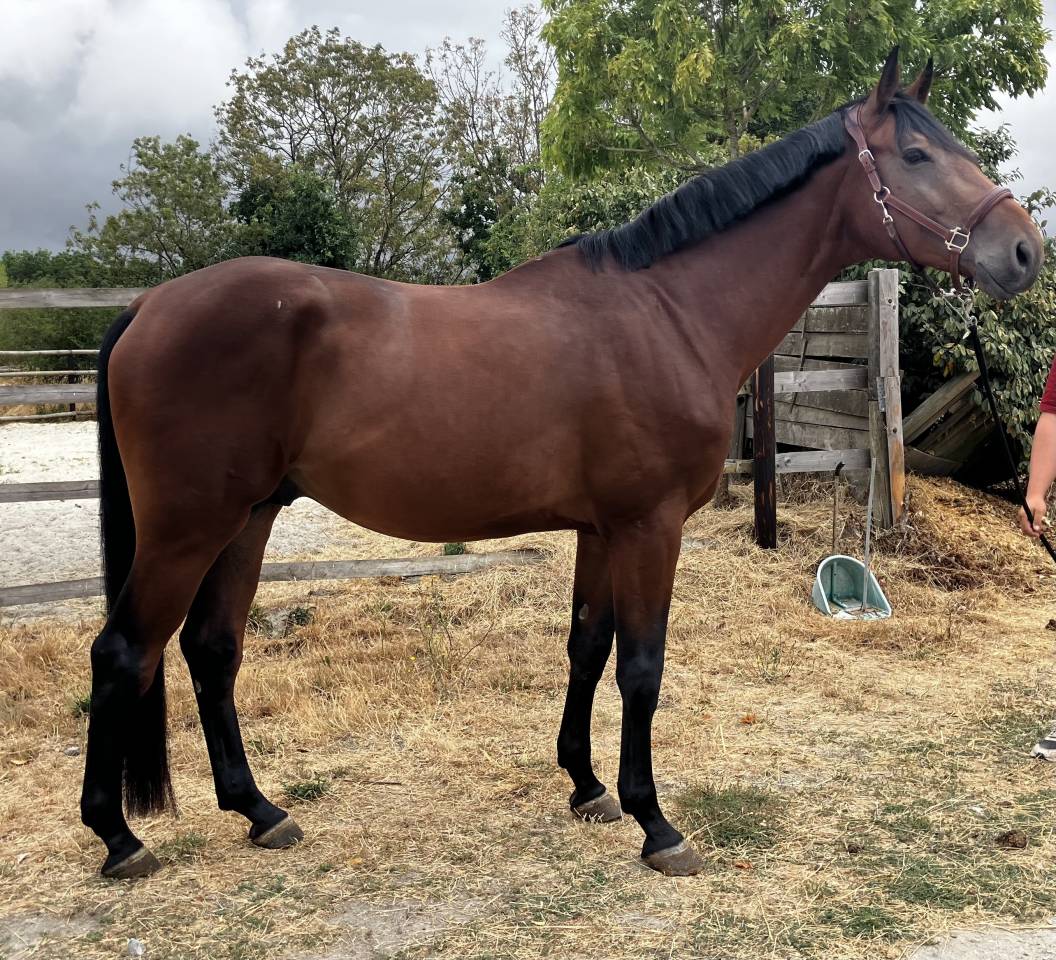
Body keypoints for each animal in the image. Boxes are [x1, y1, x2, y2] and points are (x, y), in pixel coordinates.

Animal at [80, 47, 1043, 879]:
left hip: (248, 518)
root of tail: (149, 307)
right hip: (188, 529)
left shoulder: (599, 529)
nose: (1025, 251)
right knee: (124, 652)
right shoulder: (650, 526)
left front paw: (587, 788)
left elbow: (587, 646)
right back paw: (119, 837)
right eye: (915, 153)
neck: (668, 311)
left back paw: (259, 811)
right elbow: (642, 667)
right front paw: (657, 823)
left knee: (211, 650)